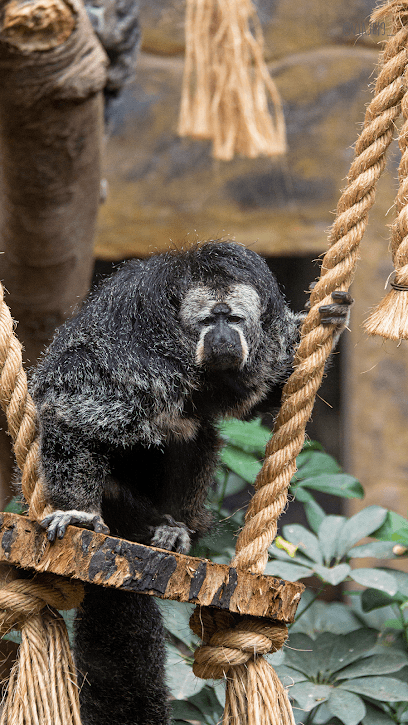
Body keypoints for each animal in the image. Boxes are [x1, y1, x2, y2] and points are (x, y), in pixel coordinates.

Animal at [31, 242, 352, 725]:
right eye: (207, 321)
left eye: (233, 319)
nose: (222, 337)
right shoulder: (130, 349)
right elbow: (73, 406)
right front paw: (79, 512)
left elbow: (267, 389)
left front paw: (330, 324)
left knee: (194, 433)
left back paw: (174, 525)